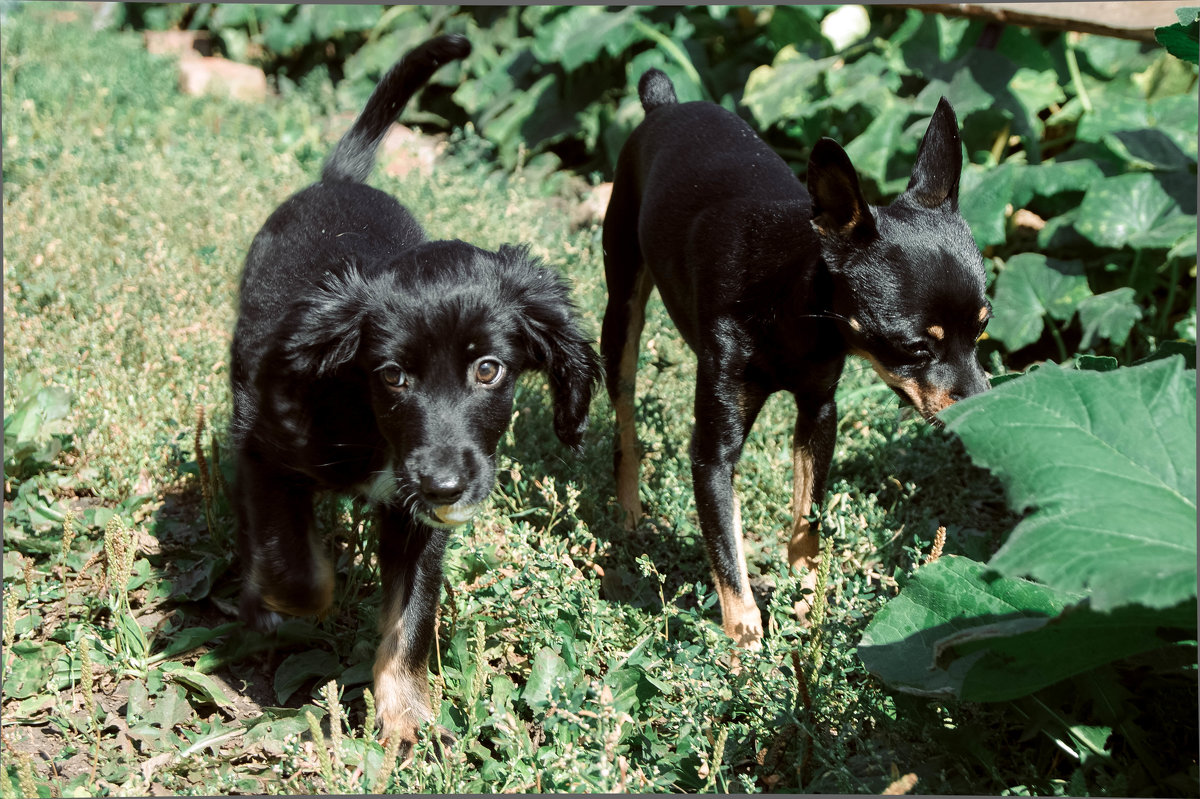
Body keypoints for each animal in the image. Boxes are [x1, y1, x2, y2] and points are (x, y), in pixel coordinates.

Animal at [229, 35, 600, 748]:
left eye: (489, 369)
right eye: (393, 376)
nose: (445, 485)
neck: (369, 425)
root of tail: (340, 181)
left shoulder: (423, 519)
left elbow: (412, 616)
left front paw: (407, 719)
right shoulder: (264, 450)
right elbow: (296, 570)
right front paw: (279, 598)